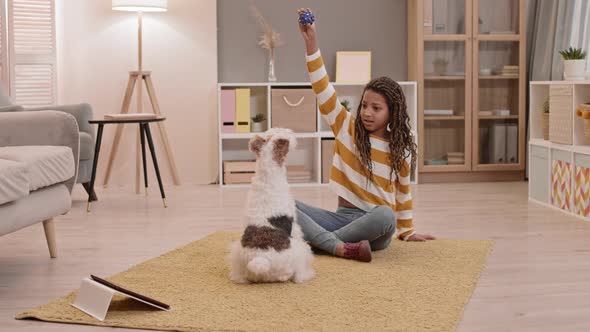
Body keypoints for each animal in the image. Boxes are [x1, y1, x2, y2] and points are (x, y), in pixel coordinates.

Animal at [229, 128, 316, 284]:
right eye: (283, 132)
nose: (291, 132)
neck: (267, 175)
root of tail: (261, 259)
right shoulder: (295, 227)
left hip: (237, 253)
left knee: (239, 275)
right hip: (299, 250)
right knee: (296, 274)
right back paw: (307, 275)